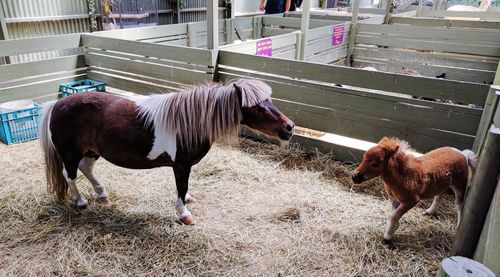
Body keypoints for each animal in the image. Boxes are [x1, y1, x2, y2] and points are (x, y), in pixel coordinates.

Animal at [42, 78, 296, 223]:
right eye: (258, 107)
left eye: (270, 100)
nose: (289, 127)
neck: (188, 122)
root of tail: (56, 105)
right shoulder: (181, 165)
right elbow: (180, 187)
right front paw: (184, 214)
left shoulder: (182, 166)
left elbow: (184, 188)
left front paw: (188, 200)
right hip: (71, 154)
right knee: (69, 176)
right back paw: (80, 201)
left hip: (91, 151)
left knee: (86, 169)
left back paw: (102, 194)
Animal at [350, 137, 478, 240]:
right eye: (364, 157)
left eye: (376, 164)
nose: (354, 176)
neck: (404, 175)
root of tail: (463, 153)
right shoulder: (395, 199)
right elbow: (394, 213)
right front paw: (395, 228)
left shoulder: (411, 200)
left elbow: (394, 215)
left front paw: (388, 236)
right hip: (442, 181)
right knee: (439, 194)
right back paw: (430, 211)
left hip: (459, 183)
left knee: (459, 203)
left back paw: (458, 226)